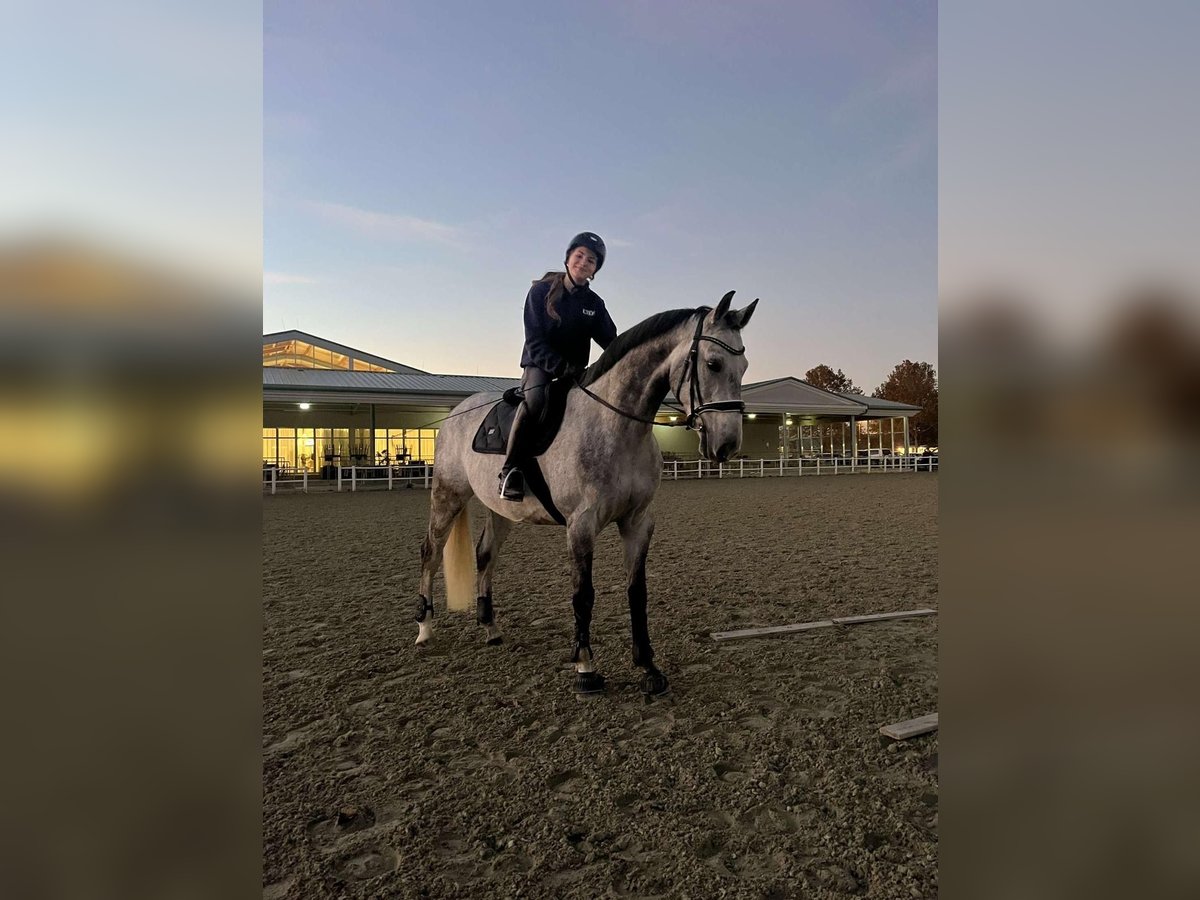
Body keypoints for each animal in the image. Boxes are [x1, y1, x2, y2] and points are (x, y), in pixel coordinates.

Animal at [412, 292, 758, 700]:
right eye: (713, 363)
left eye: (744, 366)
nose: (727, 445)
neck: (615, 425)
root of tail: (459, 411)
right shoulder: (581, 526)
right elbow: (584, 594)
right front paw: (585, 668)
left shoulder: (638, 523)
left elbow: (636, 591)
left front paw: (648, 666)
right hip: (448, 495)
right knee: (431, 553)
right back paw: (424, 629)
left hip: (502, 510)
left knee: (486, 555)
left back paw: (491, 628)